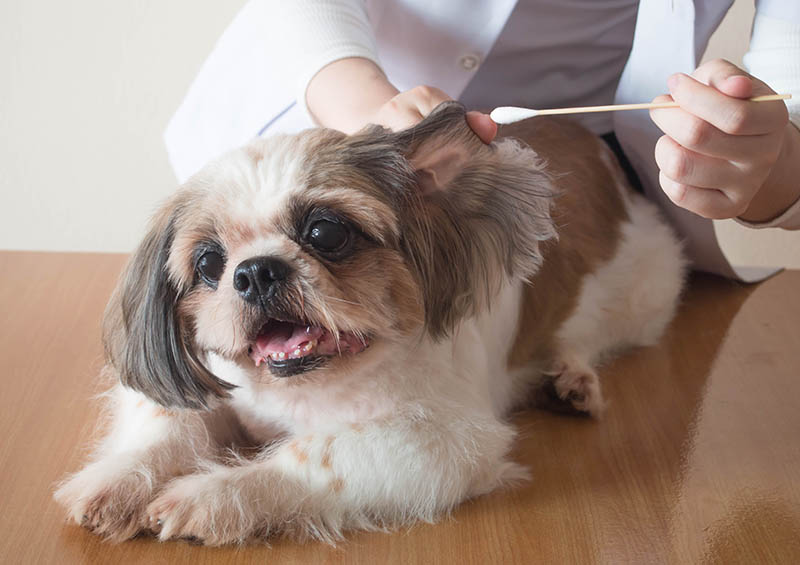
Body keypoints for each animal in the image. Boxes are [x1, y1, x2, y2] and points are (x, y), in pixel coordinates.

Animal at [54, 102, 680, 548]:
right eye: (209, 262)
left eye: (326, 233)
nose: (255, 272)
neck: (302, 390)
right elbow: (167, 423)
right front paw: (120, 479)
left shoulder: (442, 439)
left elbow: (316, 454)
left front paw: (213, 494)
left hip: (643, 293)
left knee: (589, 335)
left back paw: (571, 379)